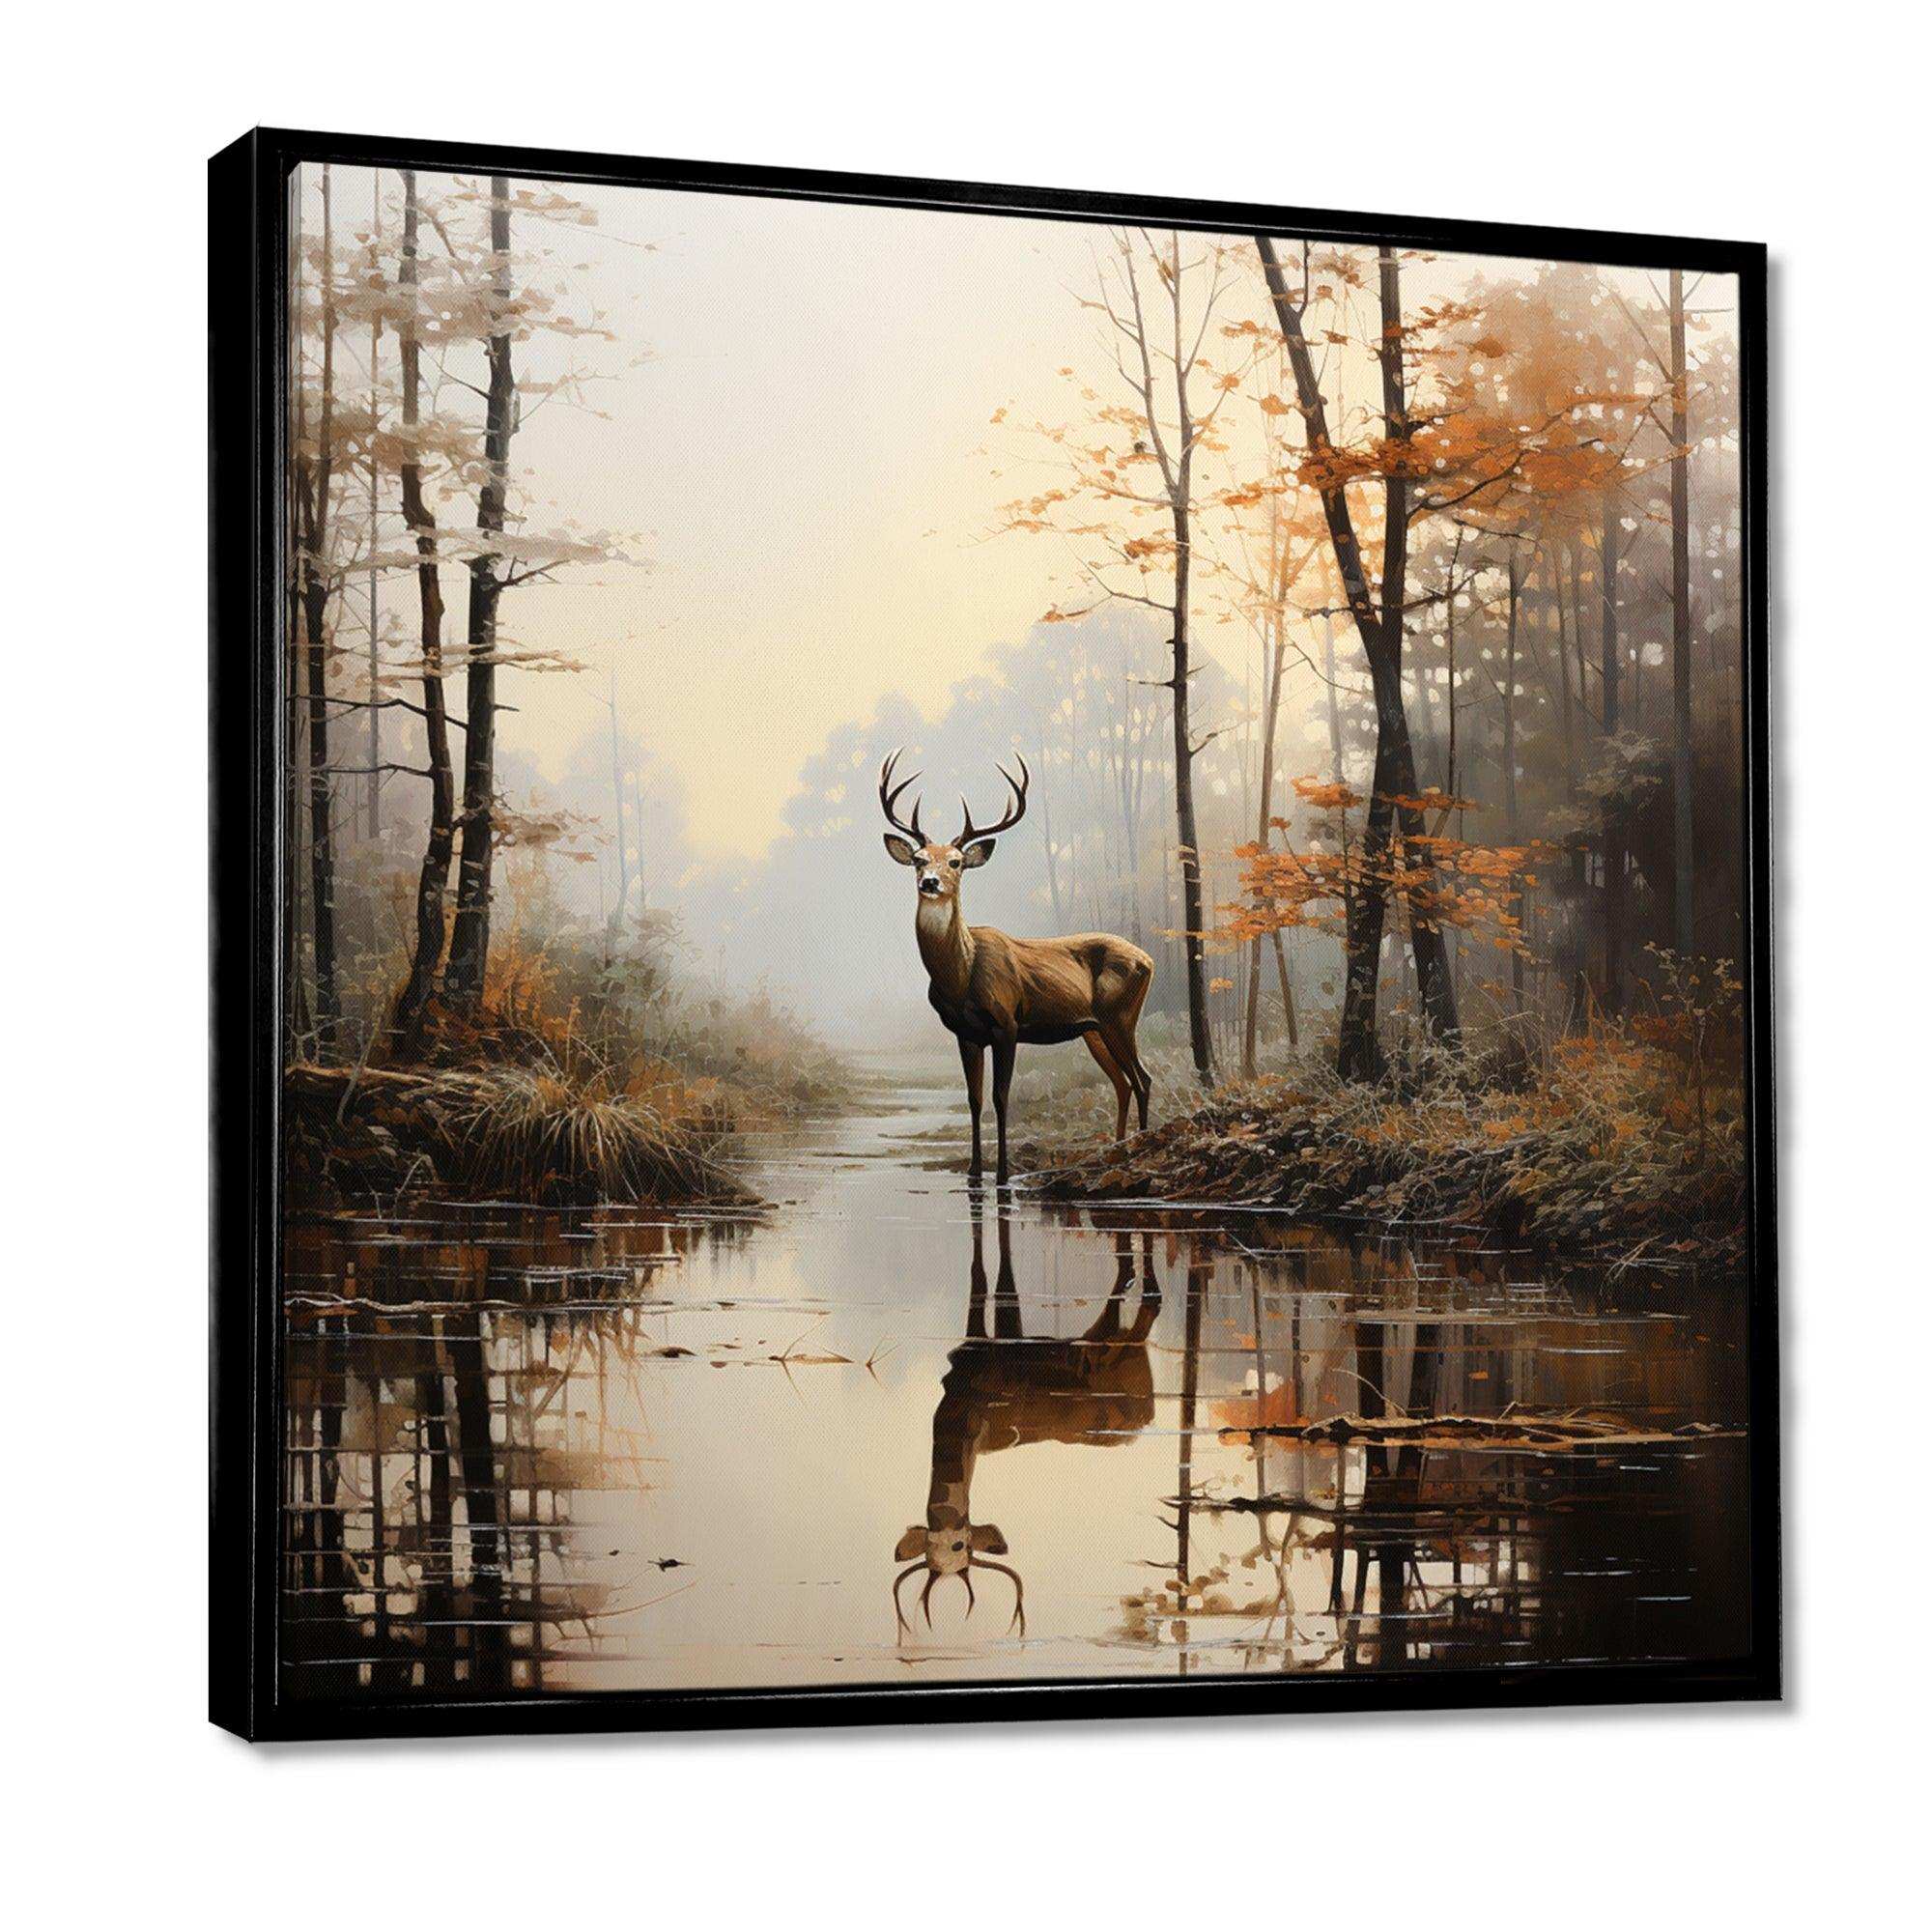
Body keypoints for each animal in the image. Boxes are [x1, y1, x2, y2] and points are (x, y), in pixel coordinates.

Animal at [879, 748, 1155, 1185]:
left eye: (955, 862)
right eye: (919, 860)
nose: (930, 882)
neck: (961, 975)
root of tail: (1148, 959)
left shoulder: (1007, 1023)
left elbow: (1001, 1096)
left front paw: (1003, 1174)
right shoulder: (965, 1033)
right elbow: (974, 1099)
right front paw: (975, 1171)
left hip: (1120, 1016)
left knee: (1142, 1079)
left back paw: (1136, 1149)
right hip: (1093, 1029)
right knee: (1122, 1082)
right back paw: (1115, 1147)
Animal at [892, 1194, 1163, 1638]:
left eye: (961, 1544)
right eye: (932, 1546)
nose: (950, 1532)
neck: (967, 1417)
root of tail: (1147, 1414)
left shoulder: (987, 1360)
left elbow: (989, 1279)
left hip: (1118, 1356)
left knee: (1145, 1309)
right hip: (1111, 1345)